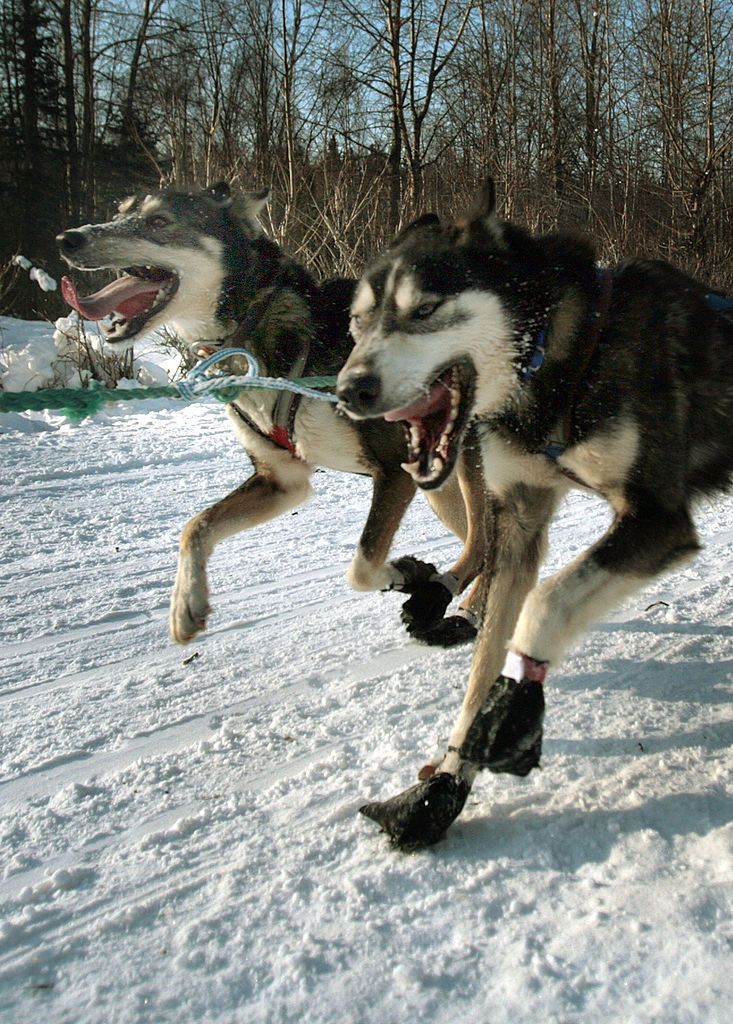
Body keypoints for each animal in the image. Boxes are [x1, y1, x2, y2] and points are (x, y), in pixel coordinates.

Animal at [54, 182, 483, 647]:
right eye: (120, 213)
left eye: (159, 220)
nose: (68, 238)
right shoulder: (282, 480)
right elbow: (196, 526)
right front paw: (186, 604)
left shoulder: (394, 470)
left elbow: (361, 566)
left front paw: (404, 572)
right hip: (441, 487)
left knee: (485, 544)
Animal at [335, 178, 733, 847]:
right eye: (358, 320)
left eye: (425, 310)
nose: (349, 390)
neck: (563, 360)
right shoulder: (520, 520)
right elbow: (484, 661)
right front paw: (444, 785)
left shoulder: (656, 520)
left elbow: (543, 606)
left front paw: (518, 705)